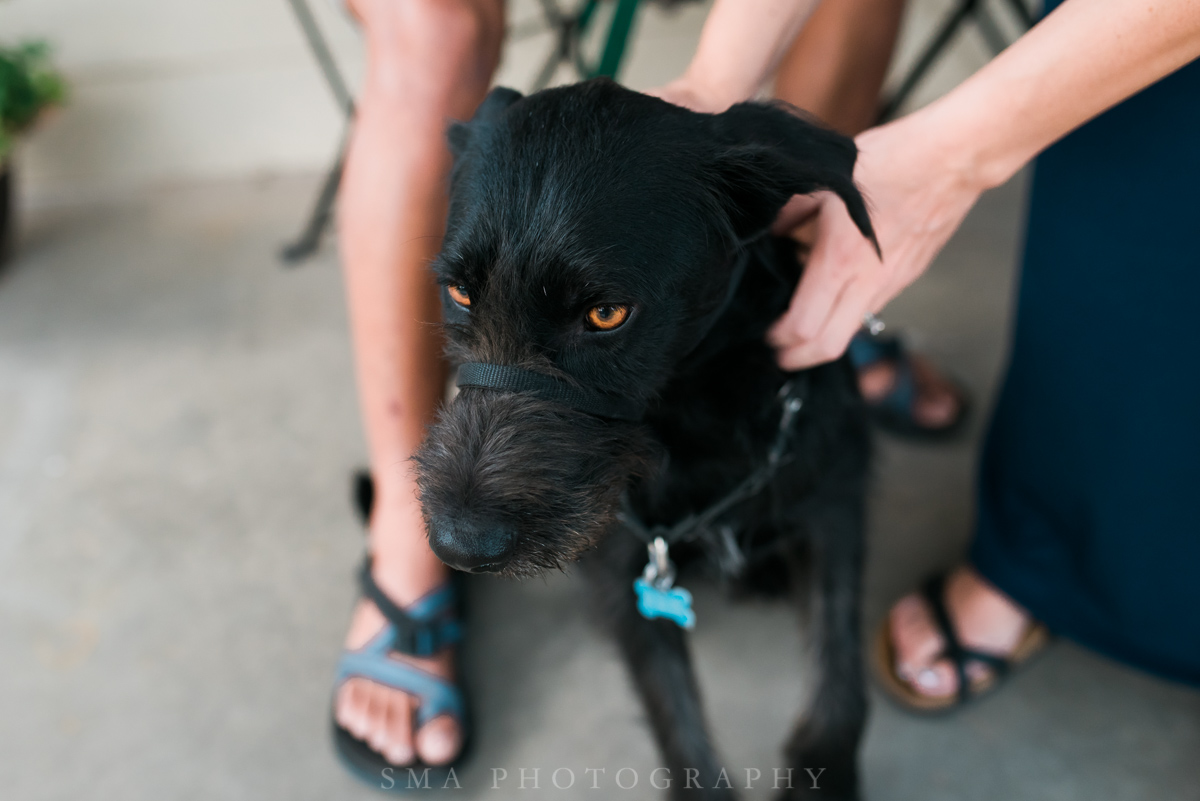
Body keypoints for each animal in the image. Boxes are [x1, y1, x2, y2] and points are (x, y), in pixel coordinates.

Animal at [417, 77, 878, 796]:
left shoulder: (835, 506)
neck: (695, 419)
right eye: (461, 293)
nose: (460, 544)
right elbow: (680, 729)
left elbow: (841, 673)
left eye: (607, 314)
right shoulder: (624, 573)